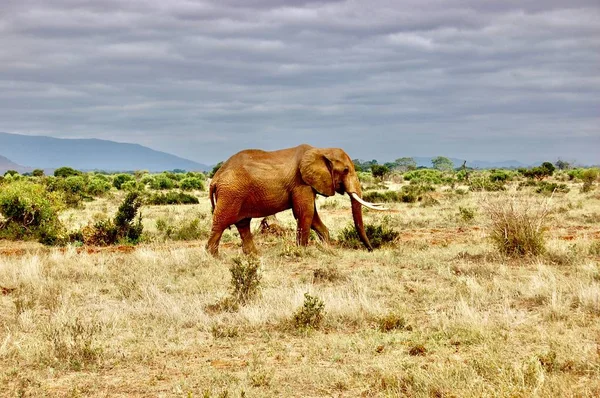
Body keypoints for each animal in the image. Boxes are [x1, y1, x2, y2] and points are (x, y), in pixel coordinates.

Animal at [205, 144, 384, 255]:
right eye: (346, 170)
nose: (371, 250)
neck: (321, 150)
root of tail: (215, 178)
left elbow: (313, 216)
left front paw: (326, 248)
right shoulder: (301, 183)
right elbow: (305, 213)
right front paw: (302, 251)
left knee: (243, 224)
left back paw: (254, 256)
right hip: (231, 193)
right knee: (221, 223)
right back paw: (214, 257)